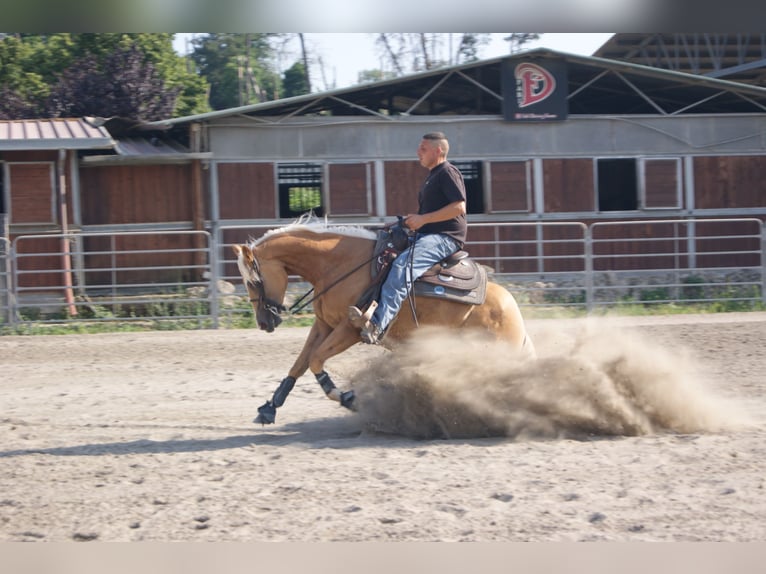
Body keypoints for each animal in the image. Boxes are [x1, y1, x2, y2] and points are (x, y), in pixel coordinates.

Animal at [233, 217, 536, 425]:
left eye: (254, 281)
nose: (264, 323)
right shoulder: (323, 324)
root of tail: (514, 314)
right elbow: (300, 363)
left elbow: (316, 359)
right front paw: (269, 407)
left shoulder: (349, 329)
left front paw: (348, 398)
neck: (338, 265)